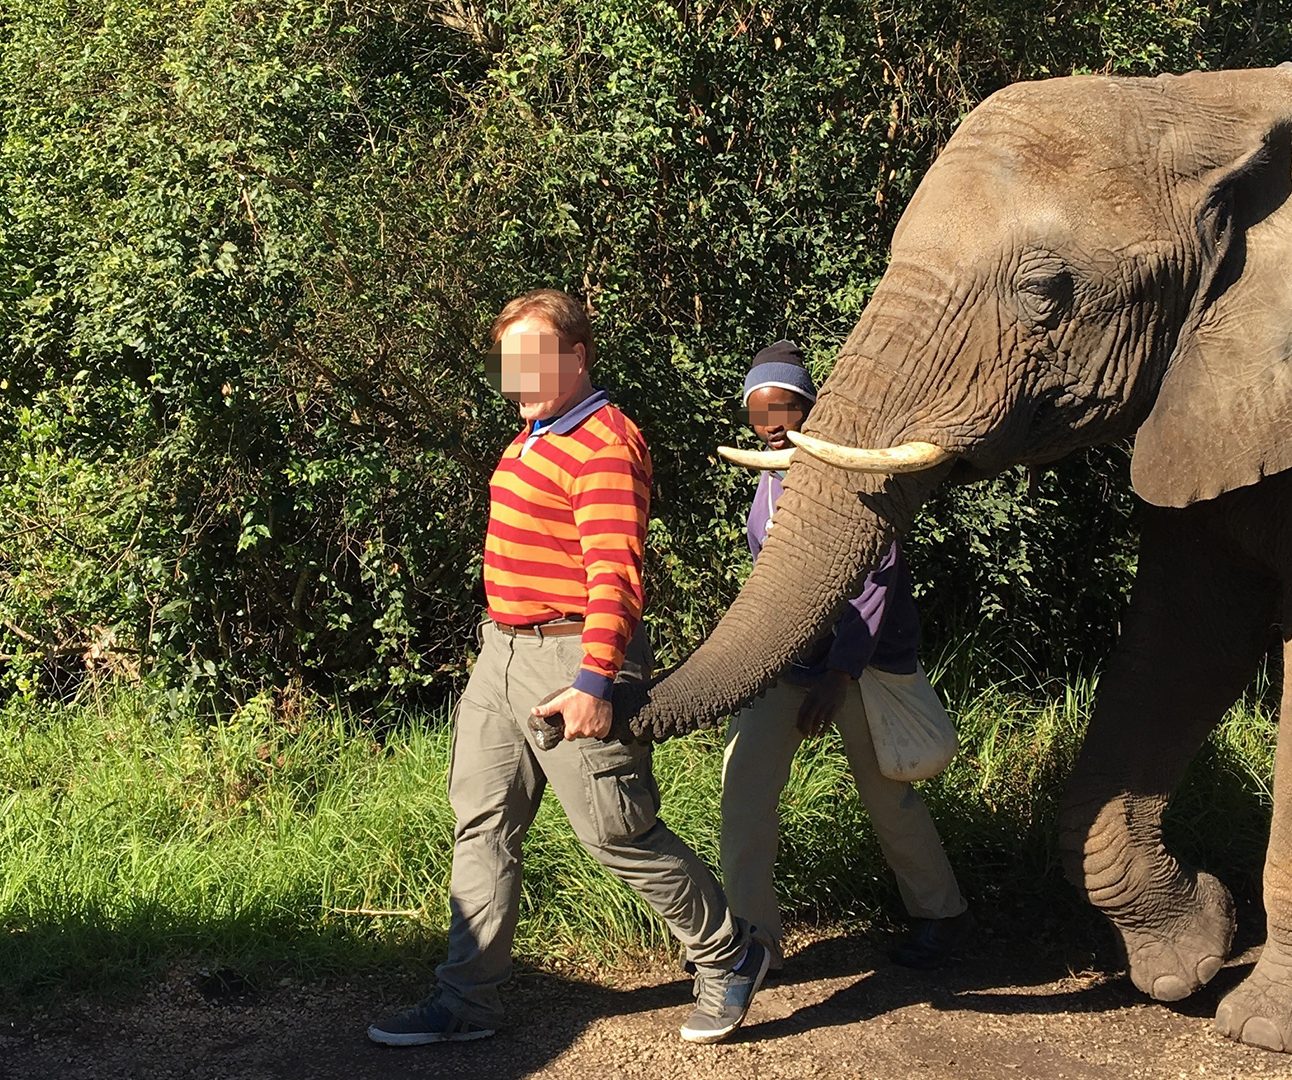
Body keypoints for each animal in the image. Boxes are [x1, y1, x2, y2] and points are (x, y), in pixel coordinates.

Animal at [537, 63, 1292, 1048]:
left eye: (1046, 292)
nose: (558, 718)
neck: (1206, 101)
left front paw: (1256, 1026)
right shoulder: (1208, 393)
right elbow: (1186, 630)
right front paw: (1187, 958)